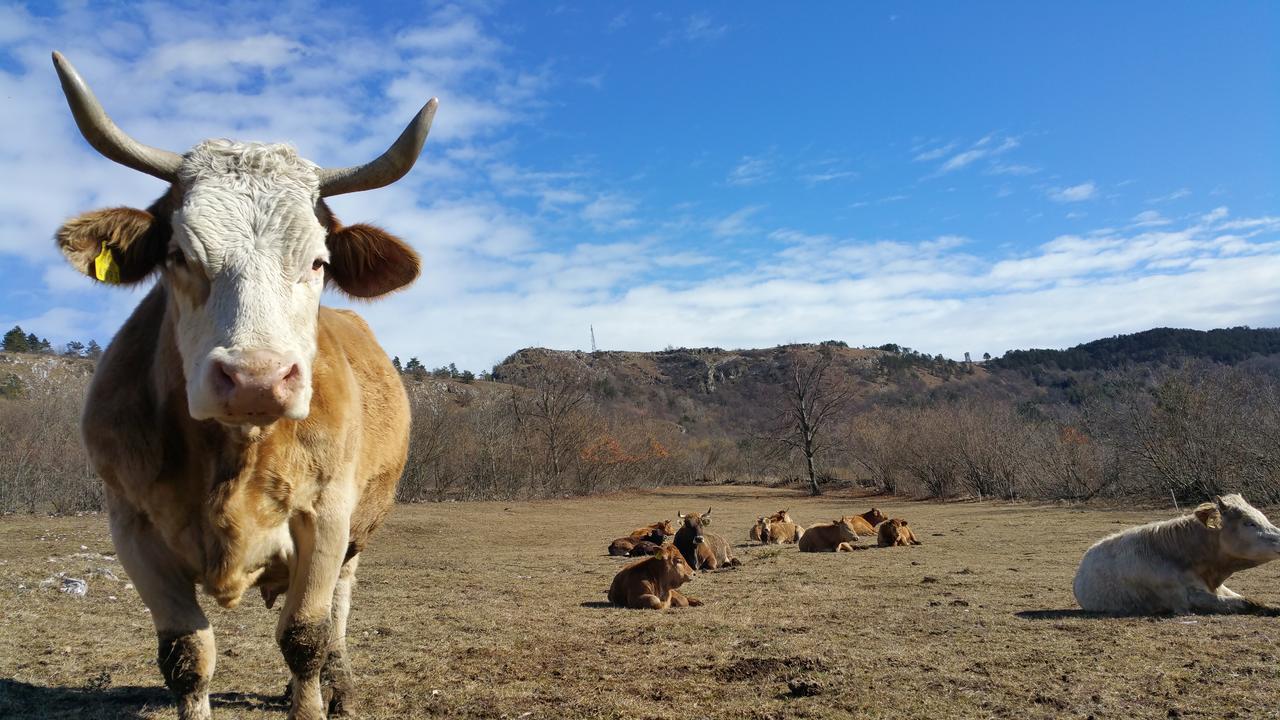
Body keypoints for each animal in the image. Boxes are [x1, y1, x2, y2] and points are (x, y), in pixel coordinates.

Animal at [48, 53, 435, 712]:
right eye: (179, 254)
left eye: (319, 261)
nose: (256, 379)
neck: (233, 452)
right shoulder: (131, 527)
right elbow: (187, 658)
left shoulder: (326, 517)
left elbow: (305, 637)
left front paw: (313, 699)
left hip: (356, 536)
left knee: (338, 609)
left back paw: (339, 685)